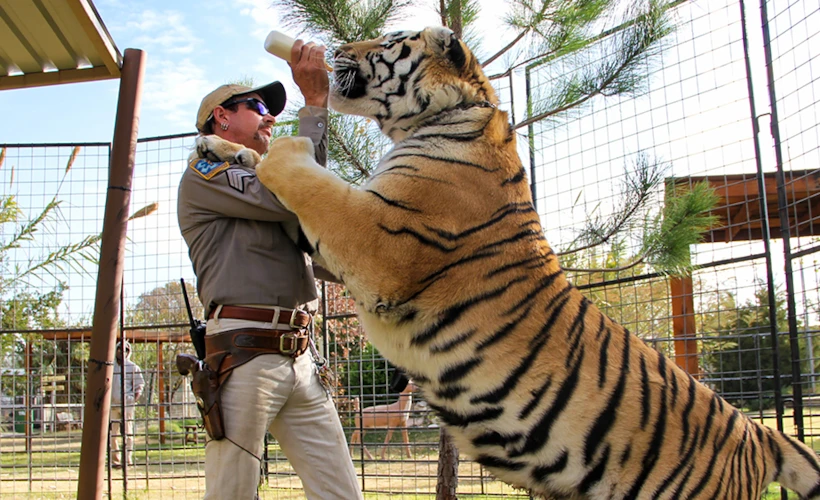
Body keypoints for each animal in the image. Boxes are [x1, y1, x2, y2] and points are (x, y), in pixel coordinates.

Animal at [194, 26, 820, 499]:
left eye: (389, 40)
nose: (337, 48)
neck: (442, 116)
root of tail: (758, 434)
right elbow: (266, 169)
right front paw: (221, 147)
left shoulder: (378, 237)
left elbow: (302, 174)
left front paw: (276, 145)